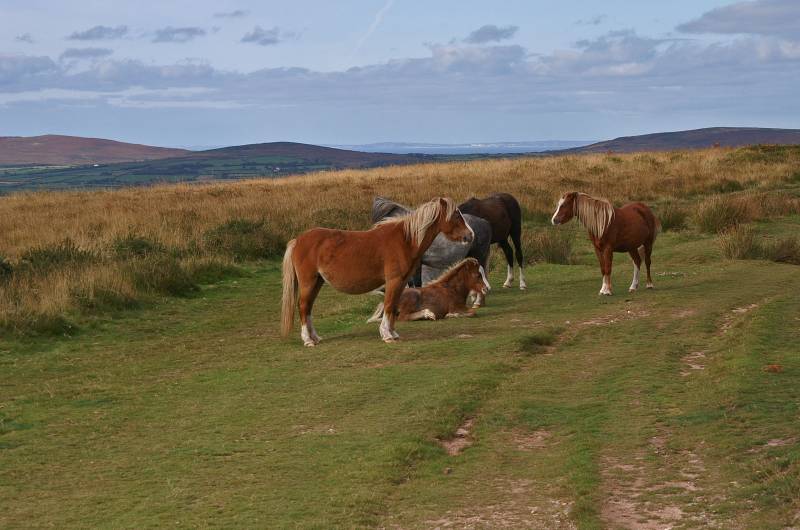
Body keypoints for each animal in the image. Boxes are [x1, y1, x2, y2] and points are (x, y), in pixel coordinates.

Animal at [284, 196, 476, 344]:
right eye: (456, 215)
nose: (470, 235)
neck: (405, 240)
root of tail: (298, 240)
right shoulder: (394, 280)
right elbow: (389, 304)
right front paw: (387, 335)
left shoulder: (402, 282)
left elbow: (393, 306)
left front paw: (393, 333)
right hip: (308, 282)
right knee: (303, 307)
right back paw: (308, 340)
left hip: (317, 282)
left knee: (308, 308)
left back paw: (315, 337)